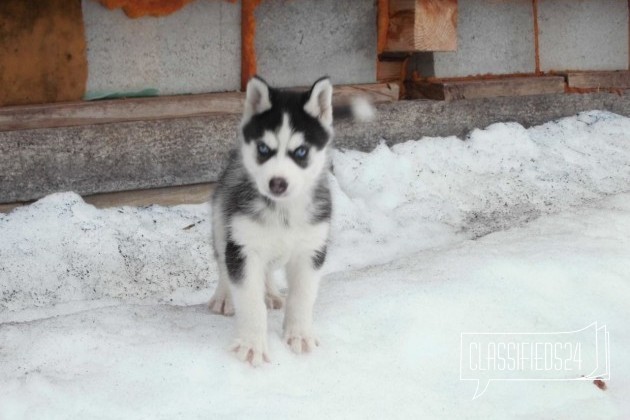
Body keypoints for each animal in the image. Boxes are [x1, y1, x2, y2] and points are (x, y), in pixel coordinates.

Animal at [211, 77, 370, 366]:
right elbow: (250, 301)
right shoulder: (243, 247)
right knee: (222, 261)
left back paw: (272, 293)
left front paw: (299, 335)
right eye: (264, 149)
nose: (278, 183)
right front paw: (251, 345)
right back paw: (224, 296)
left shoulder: (311, 250)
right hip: (221, 220)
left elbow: (302, 297)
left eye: (301, 151)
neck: (282, 212)